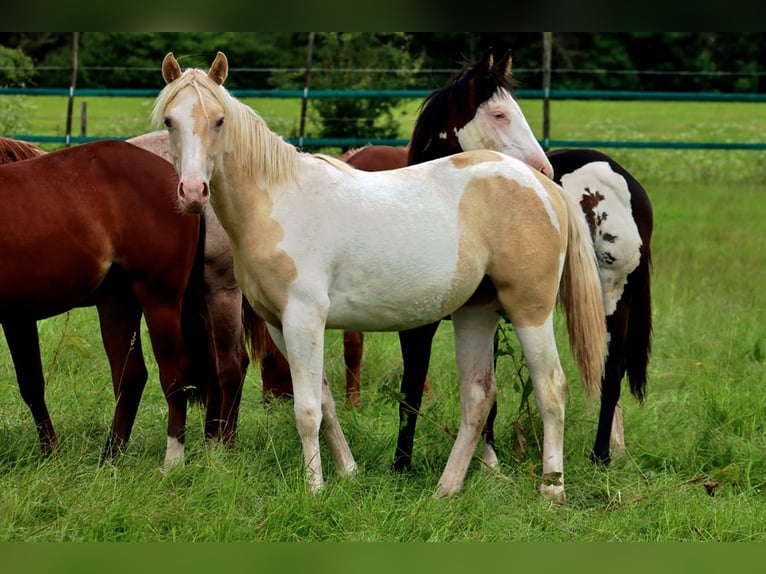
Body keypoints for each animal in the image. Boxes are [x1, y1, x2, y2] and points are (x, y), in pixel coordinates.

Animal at [0, 137, 208, 470]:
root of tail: (183, 186)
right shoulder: (16, 316)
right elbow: (31, 385)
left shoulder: (17, 314)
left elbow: (31, 384)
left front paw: (51, 455)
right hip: (118, 303)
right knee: (131, 377)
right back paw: (110, 458)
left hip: (160, 298)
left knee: (174, 374)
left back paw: (172, 461)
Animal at [152, 53, 608, 504]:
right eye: (170, 121)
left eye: (219, 121)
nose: (193, 193)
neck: (278, 199)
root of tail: (544, 185)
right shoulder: (280, 325)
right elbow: (327, 403)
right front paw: (348, 472)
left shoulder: (304, 318)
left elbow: (307, 410)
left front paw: (314, 488)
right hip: (476, 314)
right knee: (479, 397)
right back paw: (446, 489)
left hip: (529, 310)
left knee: (551, 388)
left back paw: (552, 490)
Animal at [256, 48, 656, 472]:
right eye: (499, 114)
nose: (544, 171)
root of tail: (626, 181)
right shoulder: (452, 316)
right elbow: (433, 388)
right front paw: (476, 461)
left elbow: (422, 388)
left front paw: (416, 465)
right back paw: (613, 448)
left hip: (613, 298)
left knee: (612, 370)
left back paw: (601, 455)